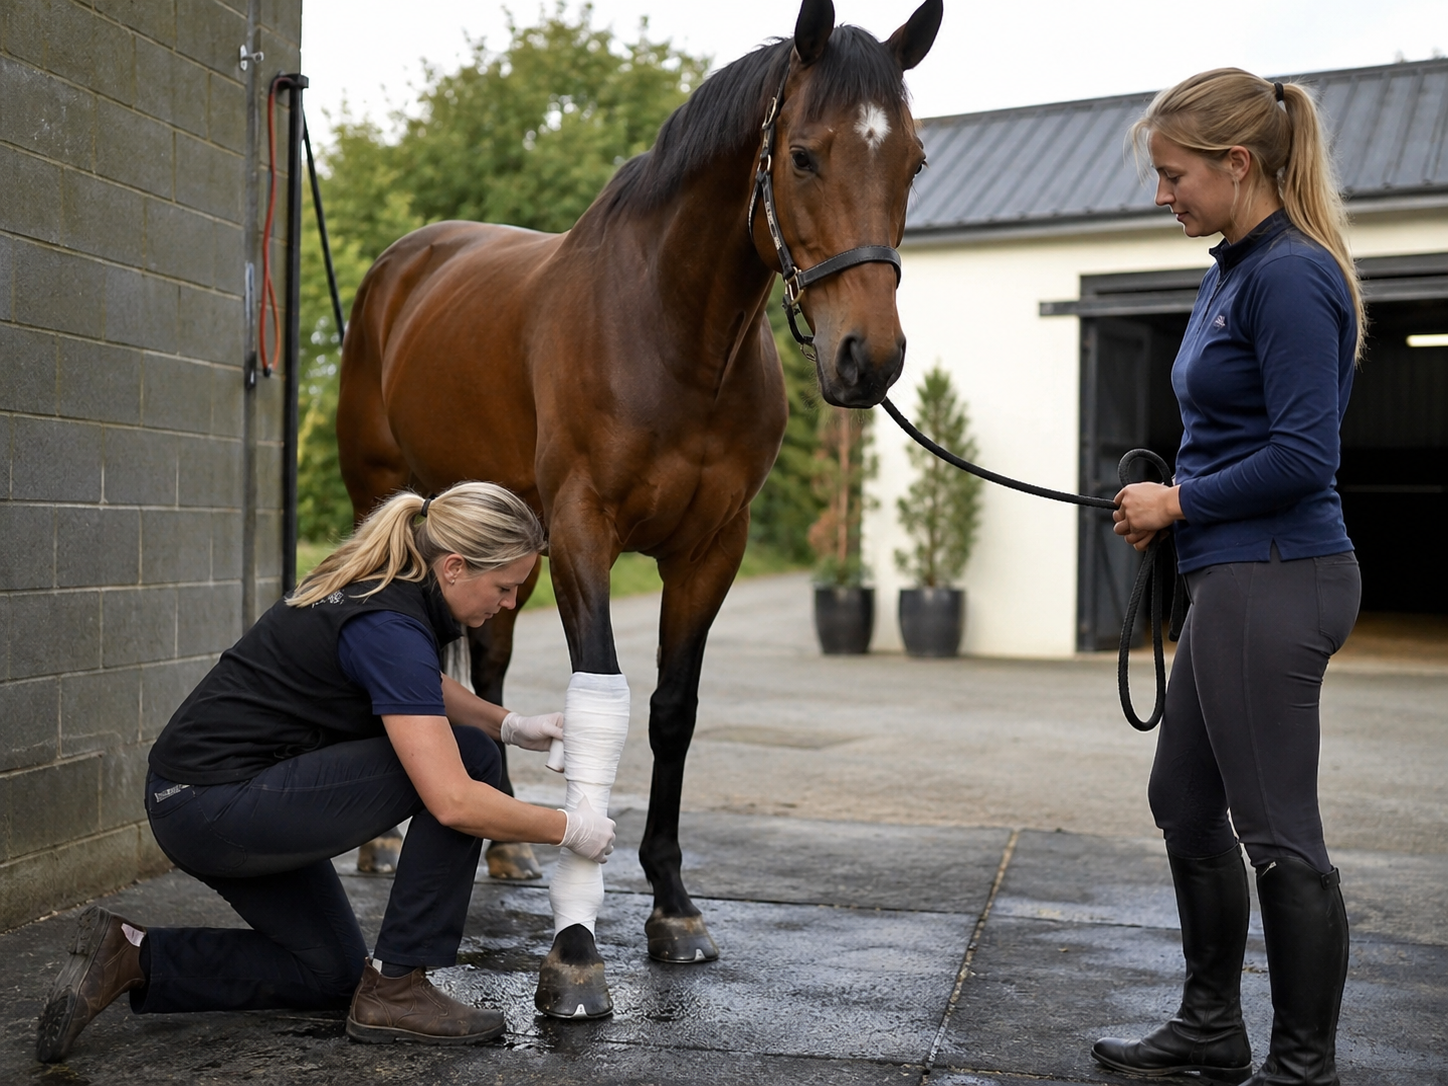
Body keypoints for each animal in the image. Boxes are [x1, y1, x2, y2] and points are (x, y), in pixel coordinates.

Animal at [336, 0, 942, 1016]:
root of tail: (404, 263)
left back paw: (505, 848)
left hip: (510, 542)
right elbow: (601, 700)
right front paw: (575, 947)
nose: (871, 359)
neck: (674, 334)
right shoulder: (586, 532)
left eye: (914, 160)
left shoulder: (711, 548)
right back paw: (381, 843)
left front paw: (673, 906)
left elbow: (671, 712)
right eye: (803, 155)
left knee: (490, 668)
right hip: (388, 495)